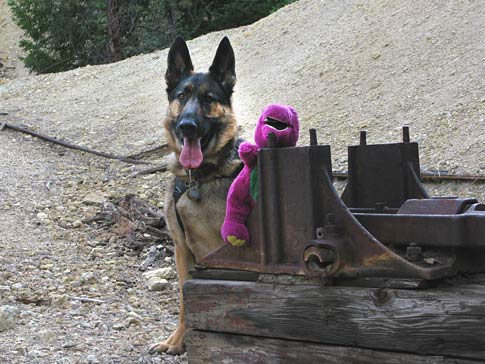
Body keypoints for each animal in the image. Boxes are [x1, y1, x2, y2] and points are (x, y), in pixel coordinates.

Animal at [148, 36, 241, 352]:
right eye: (181, 95)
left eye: (208, 98)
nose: (186, 126)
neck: (197, 178)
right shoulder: (181, 249)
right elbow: (184, 300)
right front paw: (177, 340)